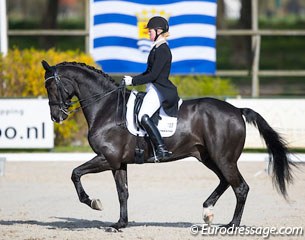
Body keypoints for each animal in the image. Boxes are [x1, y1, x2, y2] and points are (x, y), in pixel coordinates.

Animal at [41, 60, 292, 231]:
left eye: (52, 87)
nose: (56, 117)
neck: (107, 108)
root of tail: (237, 110)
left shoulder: (107, 158)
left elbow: (75, 173)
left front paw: (93, 203)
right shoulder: (118, 163)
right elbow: (123, 192)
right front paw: (120, 223)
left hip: (223, 158)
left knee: (240, 187)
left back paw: (232, 225)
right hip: (208, 157)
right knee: (225, 181)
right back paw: (208, 211)